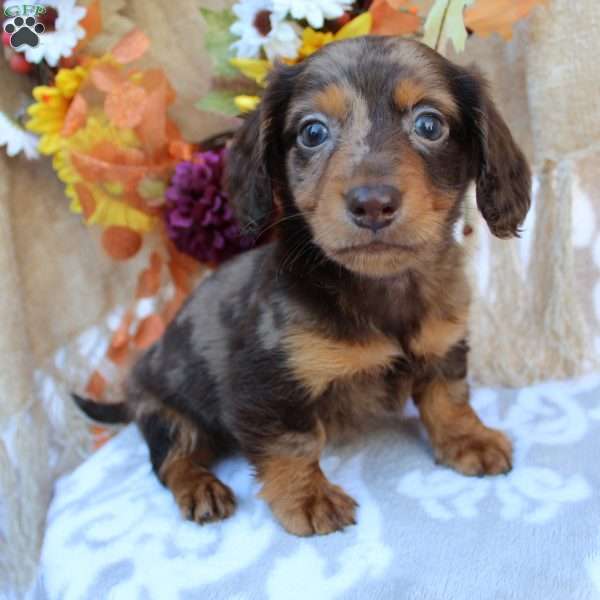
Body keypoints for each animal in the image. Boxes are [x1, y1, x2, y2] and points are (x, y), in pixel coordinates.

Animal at [76, 36, 528, 536]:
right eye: (312, 132)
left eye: (430, 124)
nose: (372, 203)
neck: (381, 288)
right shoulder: (267, 384)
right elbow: (293, 442)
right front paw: (308, 496)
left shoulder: (443, 346)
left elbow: (449, 398)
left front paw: (469, 440)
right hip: (165, 411)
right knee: (171, 458)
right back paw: (199, 486)